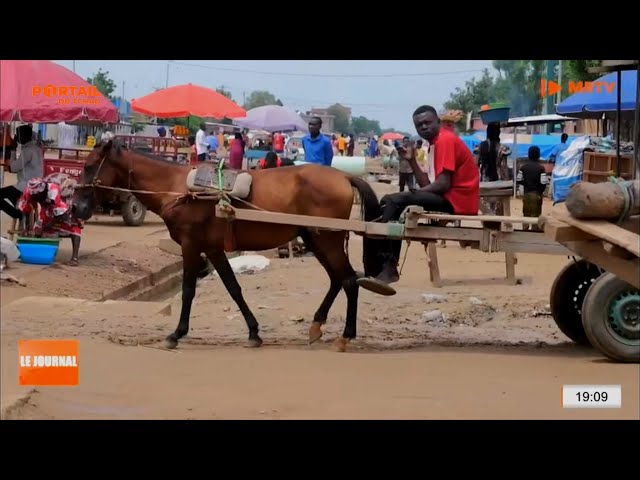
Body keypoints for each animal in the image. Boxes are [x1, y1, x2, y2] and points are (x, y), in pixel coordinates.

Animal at [74, 141, 384, 350]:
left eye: (88, 167)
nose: (76, 206)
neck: (178, 188)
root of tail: (343, 176)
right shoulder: (213, 249)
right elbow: (233, 288)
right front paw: (254, 333)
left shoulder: (191, 245)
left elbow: (188, 291)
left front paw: (176, 334)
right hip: (315, 237)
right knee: (337, 279)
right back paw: (317, 325)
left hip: (327, 239)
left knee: (349, 280)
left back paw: (345, 336)